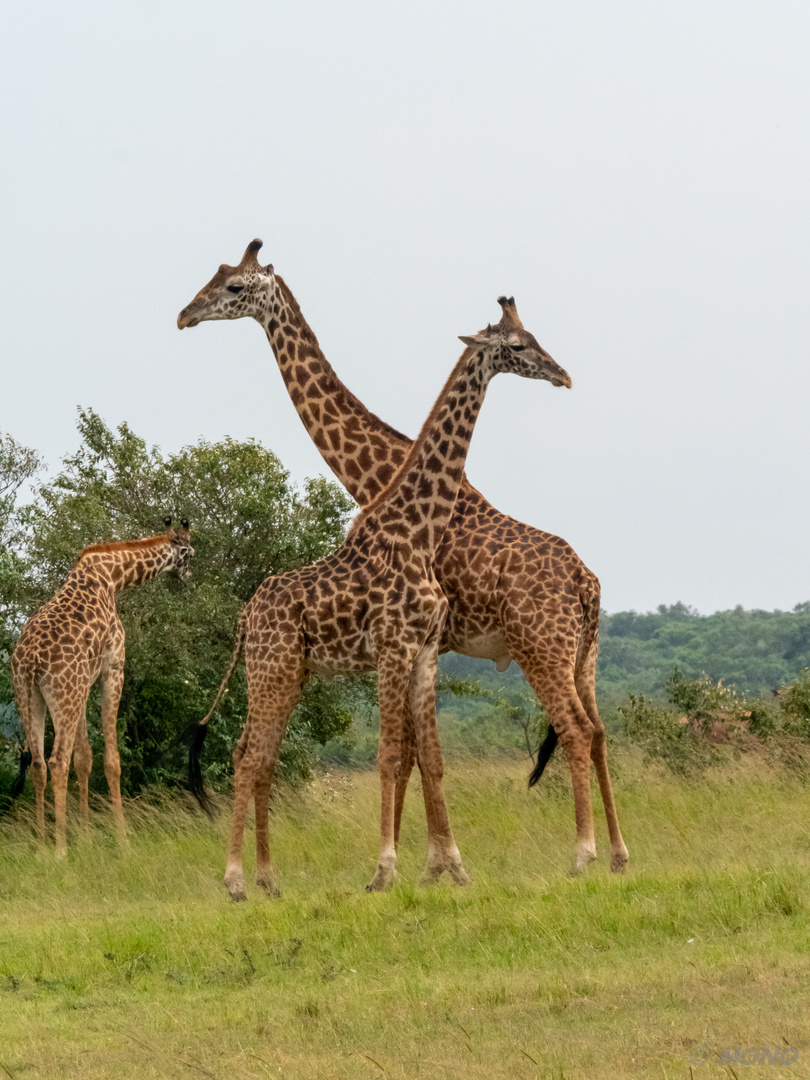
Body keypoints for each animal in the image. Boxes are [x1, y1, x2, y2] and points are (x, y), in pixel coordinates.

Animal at [10, 518, 193, 855]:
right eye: (190, 553)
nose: (188, 575)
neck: (113, 577)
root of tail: (30, 661)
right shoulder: (113, 668)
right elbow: (111, 760)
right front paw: (123, 841)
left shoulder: (84, 684)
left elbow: (84, 759)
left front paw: (85, 839)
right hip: (63, 693)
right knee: (56, 761)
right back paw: (60, 850)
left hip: (30, 695)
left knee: (39, 764)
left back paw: (42, 846)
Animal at [180, 240, 630, 872]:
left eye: (234, 288)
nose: (185, 315)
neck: (376, 474)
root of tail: (587, 582)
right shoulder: (420, 644)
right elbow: (417, 752)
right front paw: (430, 858)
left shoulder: (425, 641)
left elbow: (410, 752)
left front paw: (422, 859)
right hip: (583, 653)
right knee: (600, 731)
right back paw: (616, 852)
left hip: (542, 648)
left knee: (576, 730)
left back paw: (583, 852)